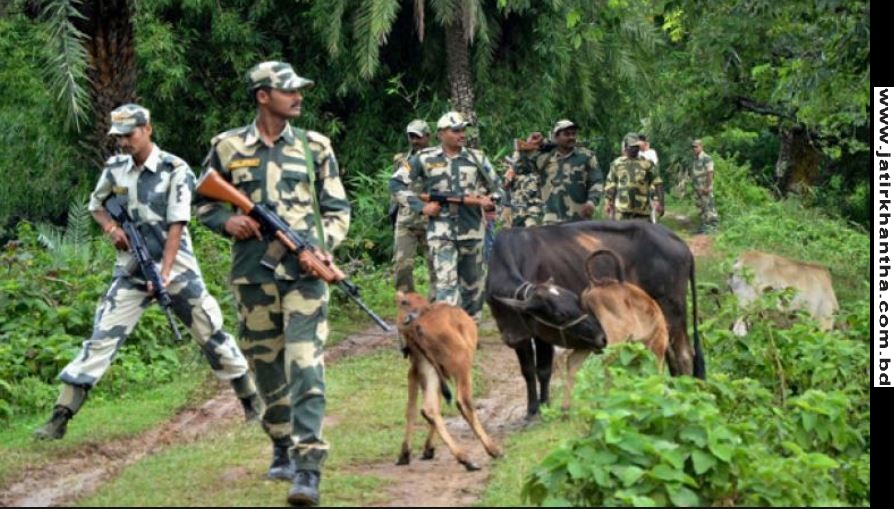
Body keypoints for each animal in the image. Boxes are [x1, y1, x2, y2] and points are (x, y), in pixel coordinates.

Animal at [398, 292, 504, 470]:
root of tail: (417, 326)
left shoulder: (416, 372)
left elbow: (413, 409)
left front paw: (421, 450)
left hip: (428, 369)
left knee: (427, 409)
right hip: (461, 365)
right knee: (463, 402)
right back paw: (487, 452)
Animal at [486, 219, 704, 416]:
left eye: (576, 302)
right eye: (560, 313)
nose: (602, 337)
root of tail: (676, 239)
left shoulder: (542, 335)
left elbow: (543, 370)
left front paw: (544, 407)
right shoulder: (518, 335)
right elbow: (528, 371)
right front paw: (532, 409)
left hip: (672, 309)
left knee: (683, 353)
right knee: (670, 354)